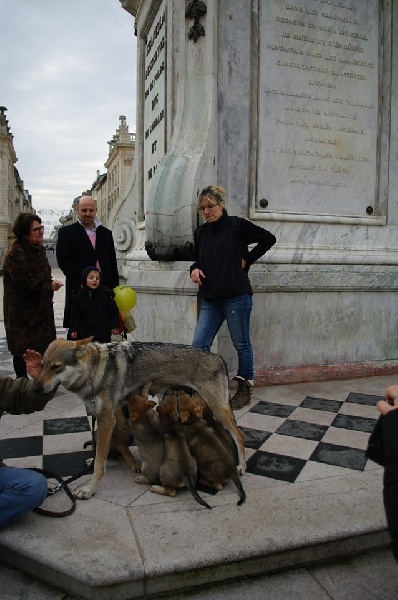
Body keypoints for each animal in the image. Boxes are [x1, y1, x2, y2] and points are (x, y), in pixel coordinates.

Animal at [33, 338, 246, 496]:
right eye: (42, 365)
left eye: (56, 367)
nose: (36, 388)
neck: (95, 371)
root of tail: (219, 357)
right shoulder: (104, 417)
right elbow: (100, 452)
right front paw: (94, 461)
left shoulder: (106, 419)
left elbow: (99, 466)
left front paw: (89, 490)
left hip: (218, 408)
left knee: (239, 435)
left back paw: (241, 467)